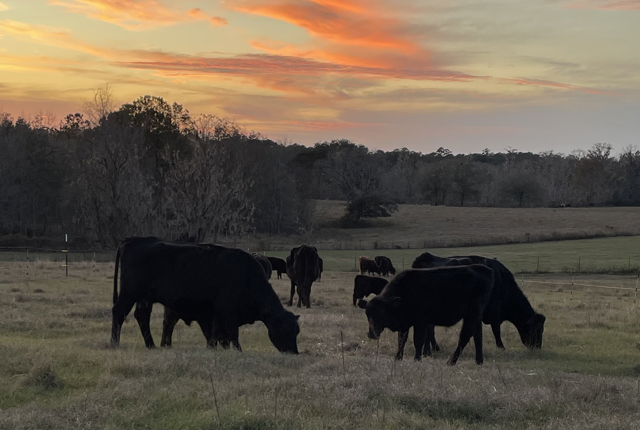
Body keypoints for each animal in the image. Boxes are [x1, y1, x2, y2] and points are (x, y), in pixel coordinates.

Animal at [111, 237, 302, 354]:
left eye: (297, 331)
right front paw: (238, 350)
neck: (246, 275)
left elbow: (215, 331)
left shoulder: (216, 310)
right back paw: (114, 343)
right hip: (129, 294)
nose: (293, 352)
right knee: (119, 313)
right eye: (284, 329)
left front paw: (212, 347)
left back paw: (151, 345)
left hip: (144, 298)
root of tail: (132, 240)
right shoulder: (227, 308)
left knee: (142, 317)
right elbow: (232, 331)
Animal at [358, 266, 492, 366]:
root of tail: (485, 270)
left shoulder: (420, 323)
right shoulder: (404, 325)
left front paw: (417, 359)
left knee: (465, 336)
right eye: (367, 314)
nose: (372, 334)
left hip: (471, 315)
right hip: (476, 317)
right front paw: (398, 357)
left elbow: (418, 340)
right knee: (478, 336)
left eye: (382, 313)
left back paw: (451, 361)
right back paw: (479, 361)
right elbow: (401, 340)